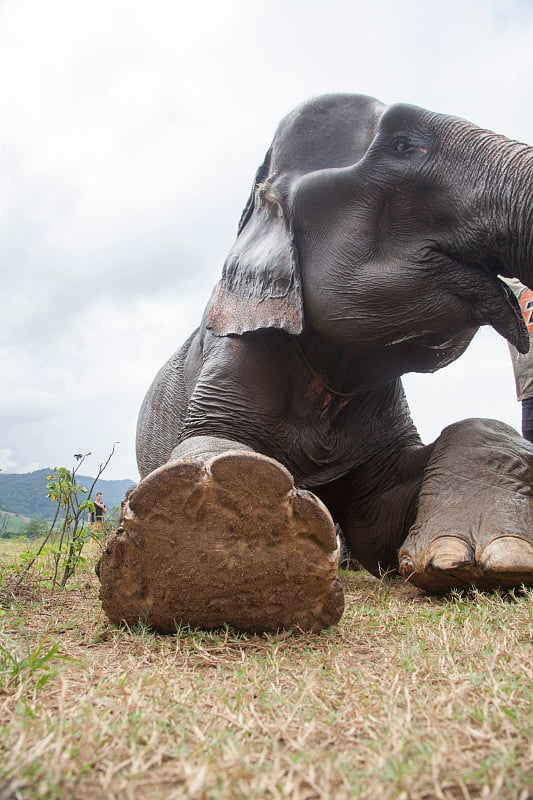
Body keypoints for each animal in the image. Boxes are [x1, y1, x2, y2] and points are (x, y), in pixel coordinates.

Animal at [97, 92, 532, 632]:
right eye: (404, 144)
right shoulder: (233, 357)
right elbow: (208, 441)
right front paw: (228, 532)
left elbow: (379, 521)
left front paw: (487, 559)